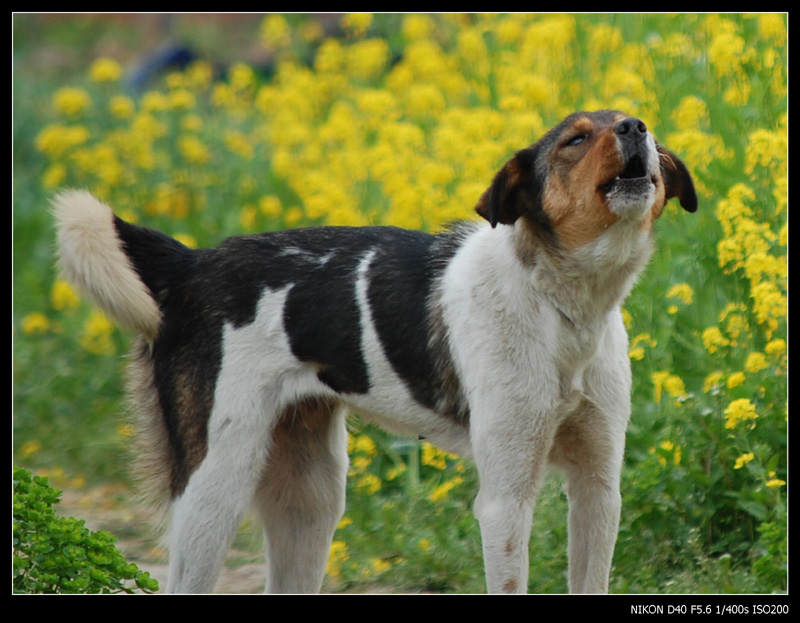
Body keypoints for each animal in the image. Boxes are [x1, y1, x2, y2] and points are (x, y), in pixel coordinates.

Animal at [54, 111, 692, 596]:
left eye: (636, 121)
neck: (561, 306)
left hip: (310, 500)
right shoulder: (506, 499)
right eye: (576, 139)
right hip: (216, 486)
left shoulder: (598, 490)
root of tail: (192, 265)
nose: (636, 128)